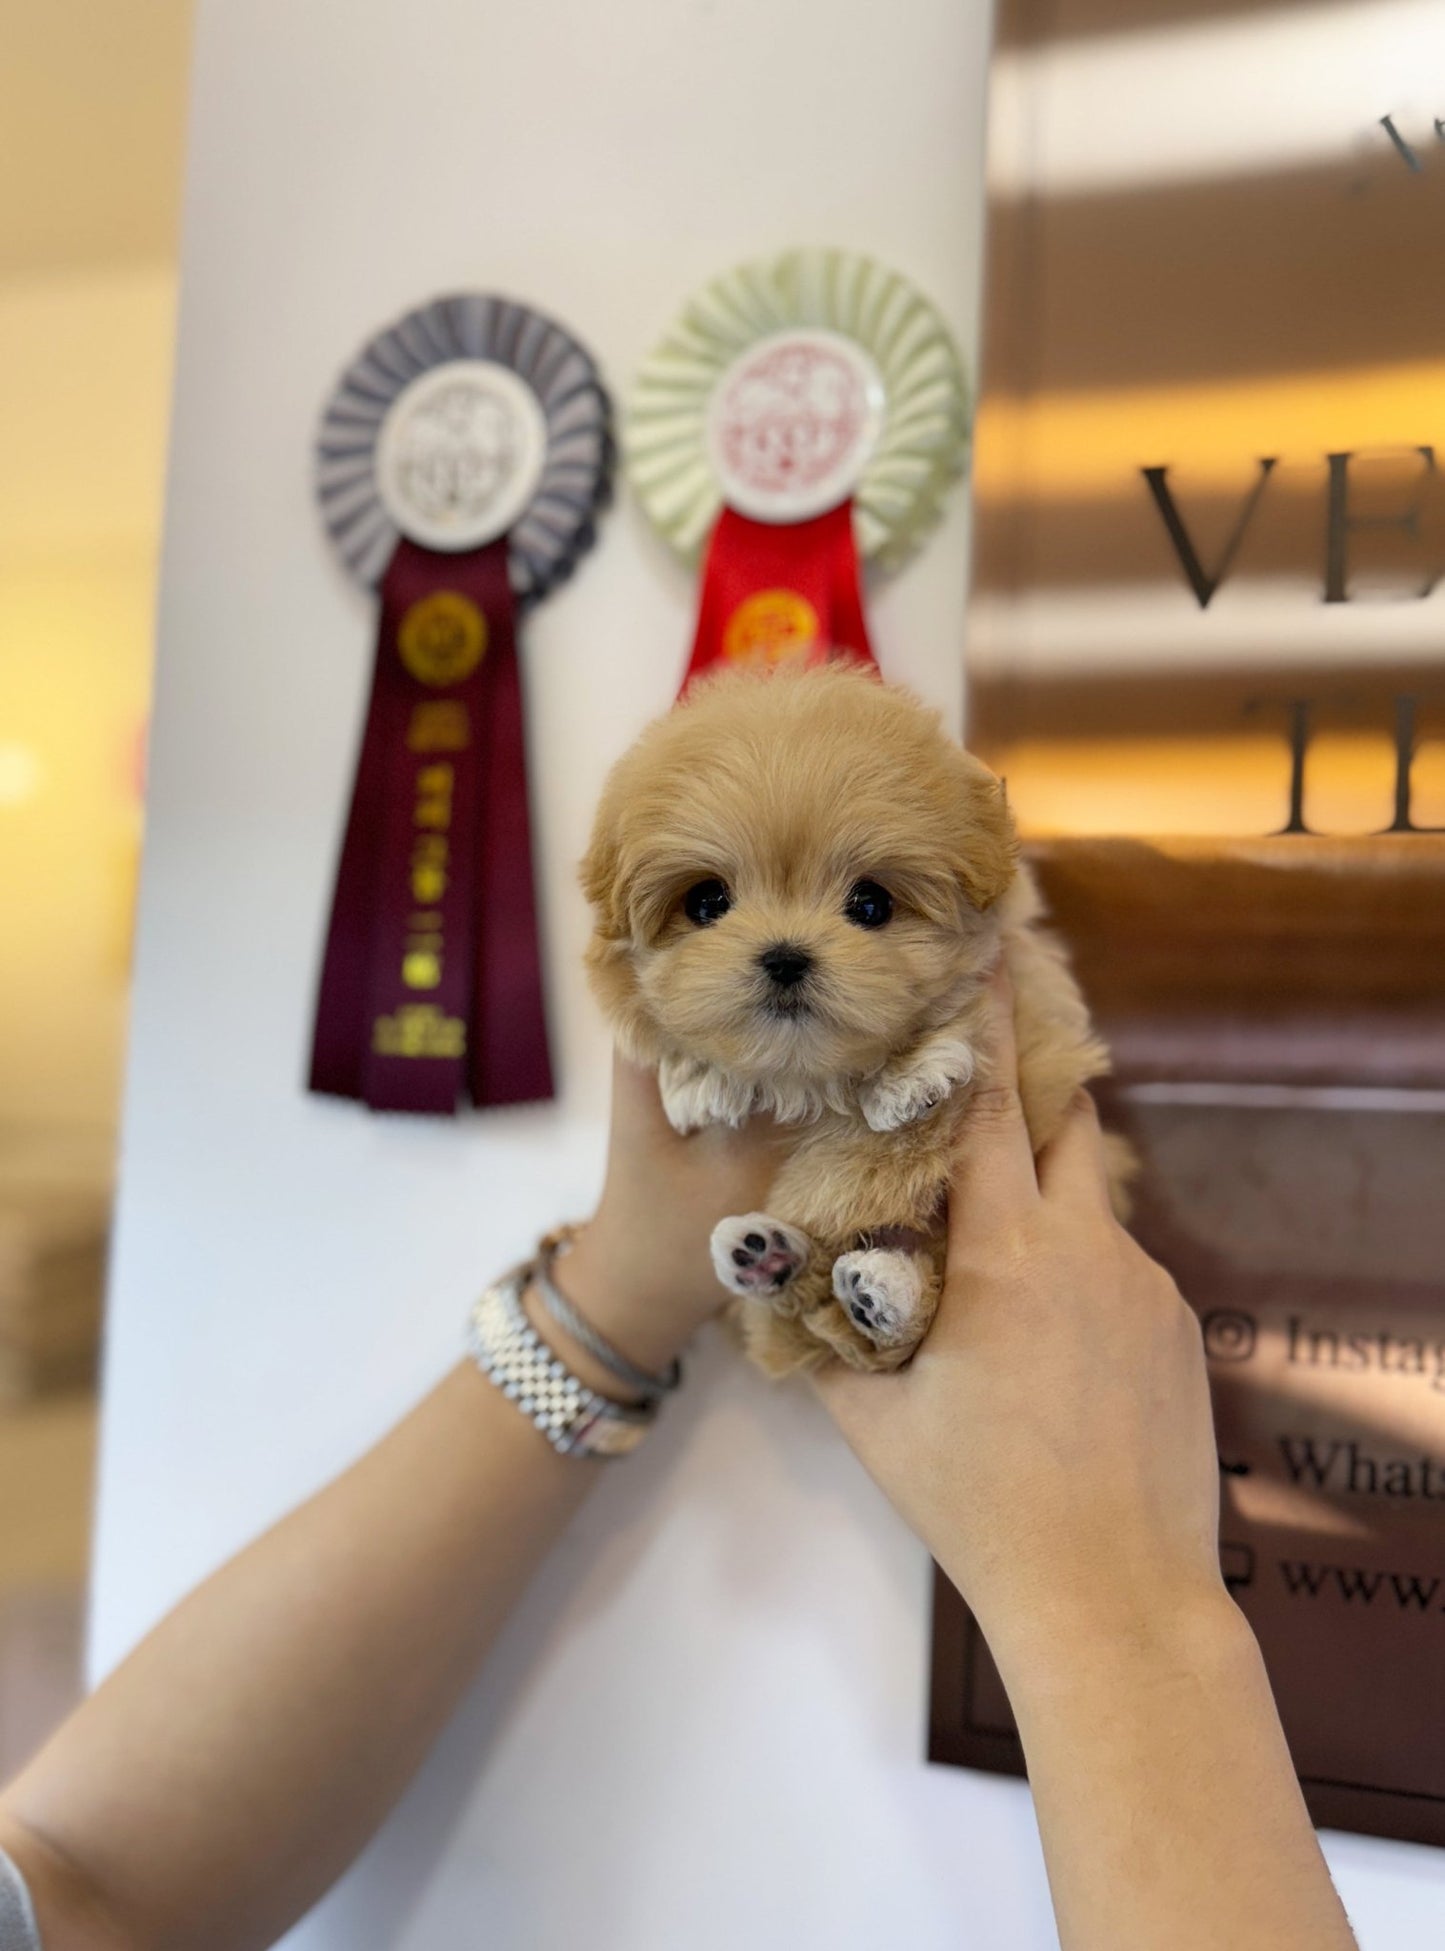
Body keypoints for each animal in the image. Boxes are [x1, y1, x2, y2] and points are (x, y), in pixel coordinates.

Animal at [581, 663, 1123, 1381]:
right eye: (706, 902)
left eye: (870, 904)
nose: (784, 956)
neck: (806, 1076)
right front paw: (698, 1080)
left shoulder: (1025, 991)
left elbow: (968, 1011)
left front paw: (910, 1076)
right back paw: (766, 1255)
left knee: (894, 1327)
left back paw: (881, 1292)